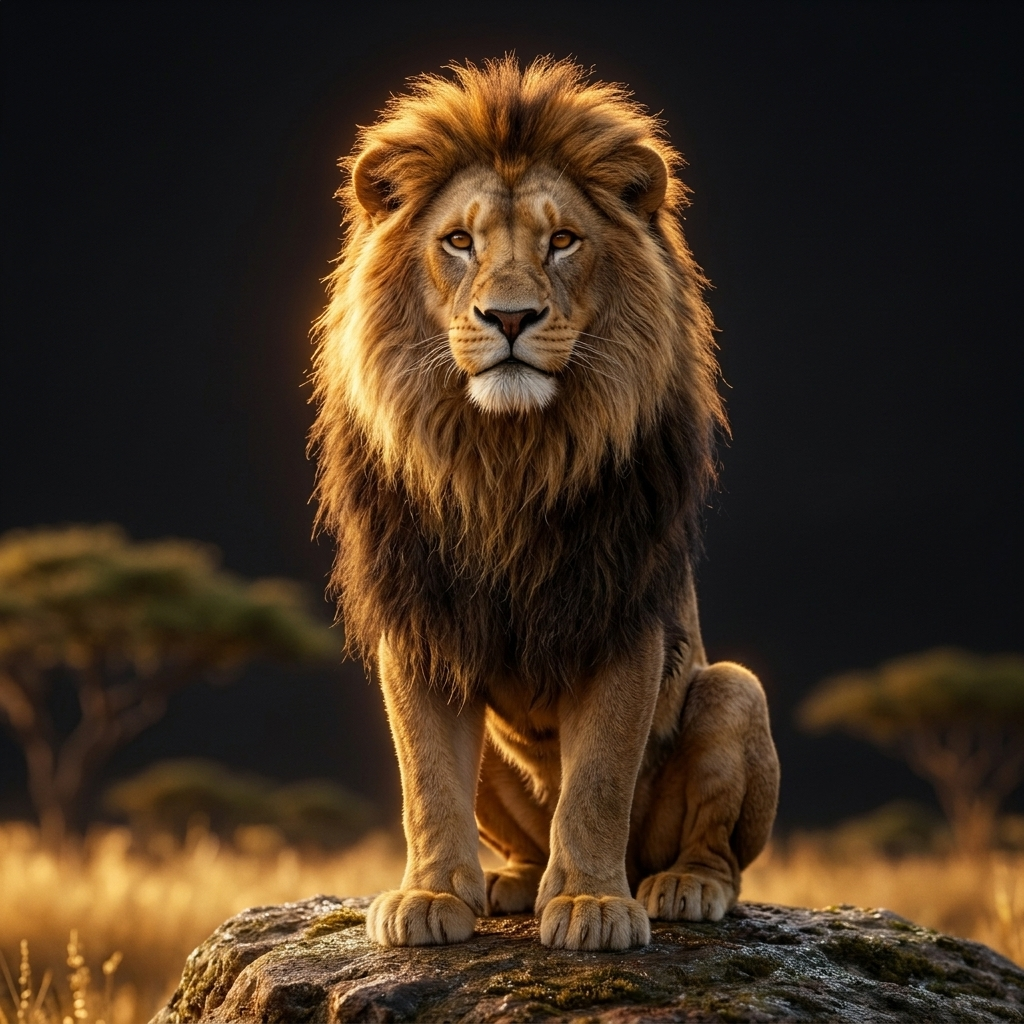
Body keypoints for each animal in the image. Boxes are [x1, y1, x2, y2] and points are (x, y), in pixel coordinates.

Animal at [310, 57, 780, 952]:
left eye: (563, 241)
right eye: (459, 242)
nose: (510, 317)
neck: (508, 458)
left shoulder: (624, 617)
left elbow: (596, 781)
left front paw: (592, 903)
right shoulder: (422, 624)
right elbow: (426, 779)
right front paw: (430, 894)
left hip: (734, 692)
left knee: (714, 849)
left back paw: (680, 887)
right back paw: (513, 885)